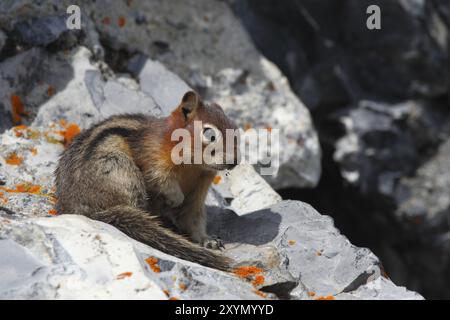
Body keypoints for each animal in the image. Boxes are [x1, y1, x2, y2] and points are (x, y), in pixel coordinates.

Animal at [54, 91, 239, 272]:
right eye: (210, 134)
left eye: (236, 132)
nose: (235, 161)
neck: (194, 166)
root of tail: (79, 209)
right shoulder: (152, 156)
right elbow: (160, 180)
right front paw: (175, 199)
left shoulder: (199, 190)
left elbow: (193, 218)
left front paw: (208, 240)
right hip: (122, 172)